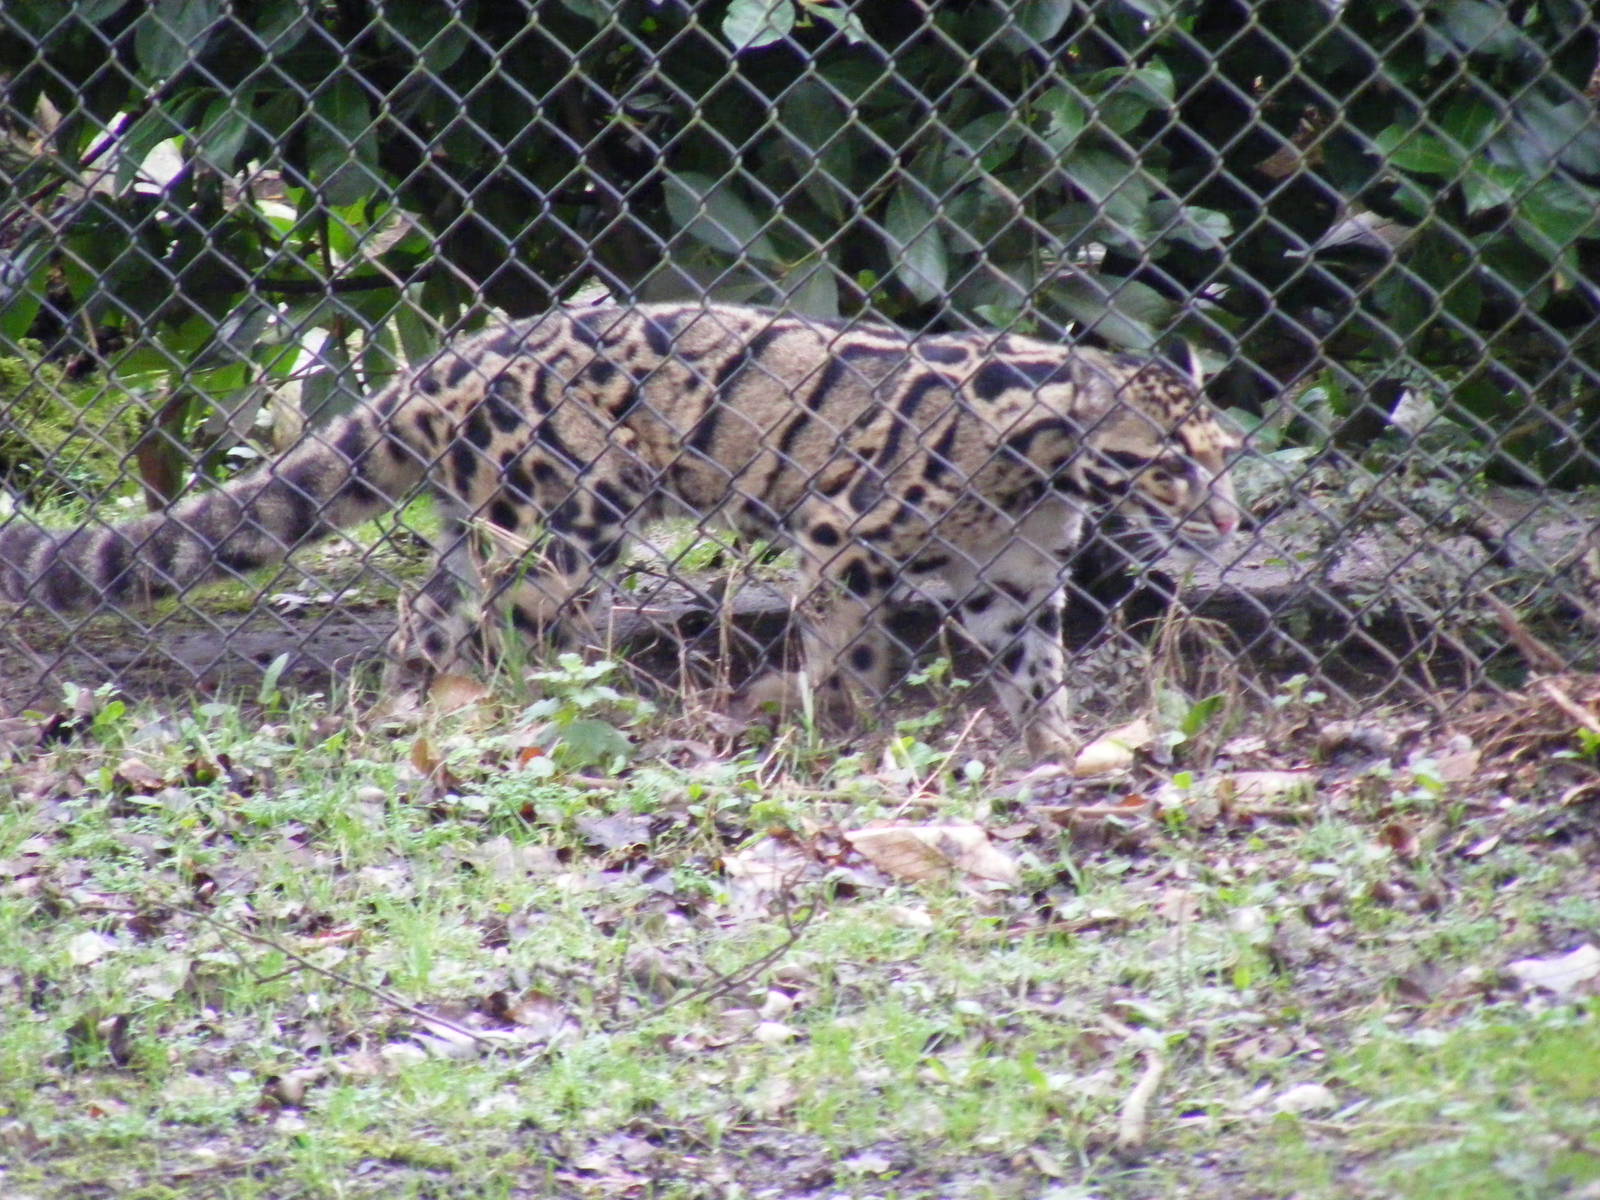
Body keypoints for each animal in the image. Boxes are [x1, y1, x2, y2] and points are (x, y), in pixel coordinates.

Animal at [0, 303, 1241, 757]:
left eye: (1223, 454)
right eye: (1170, 464)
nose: (1230, 516)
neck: (1047, 472)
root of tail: (450, 358)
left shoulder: (1014, 584)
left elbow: (1034, 671)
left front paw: (1058, 747)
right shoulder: (839, 531)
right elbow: (847, 654)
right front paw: (844, 731)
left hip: (480, 527)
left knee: (422, 612)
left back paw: (414, 707)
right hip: (563, 522)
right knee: (521, 640)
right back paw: (534, 720)